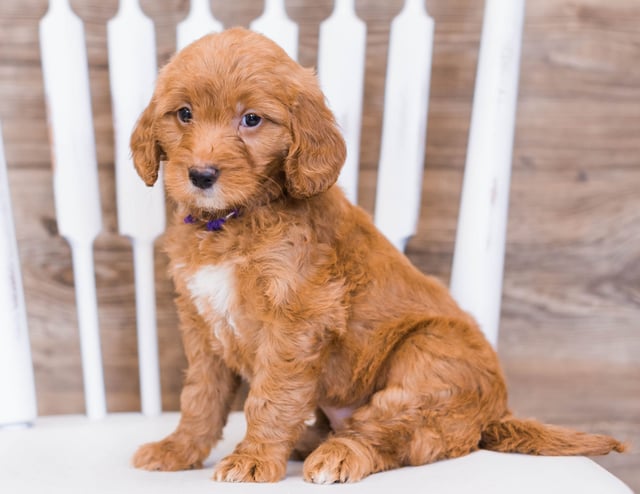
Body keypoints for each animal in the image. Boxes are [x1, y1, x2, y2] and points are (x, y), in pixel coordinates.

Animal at [130, 27, 624, 482]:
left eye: (251, 119)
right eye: (184, 114)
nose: (201, 175)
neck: (232, 221)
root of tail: (495, 415)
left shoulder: (298, 318)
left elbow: (271, 397)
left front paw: (253, 459)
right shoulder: (201, 321)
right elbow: (201, 395)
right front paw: (178, 449)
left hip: (429, 354)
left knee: (393, 431)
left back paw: (338, 454)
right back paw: (310, 440)